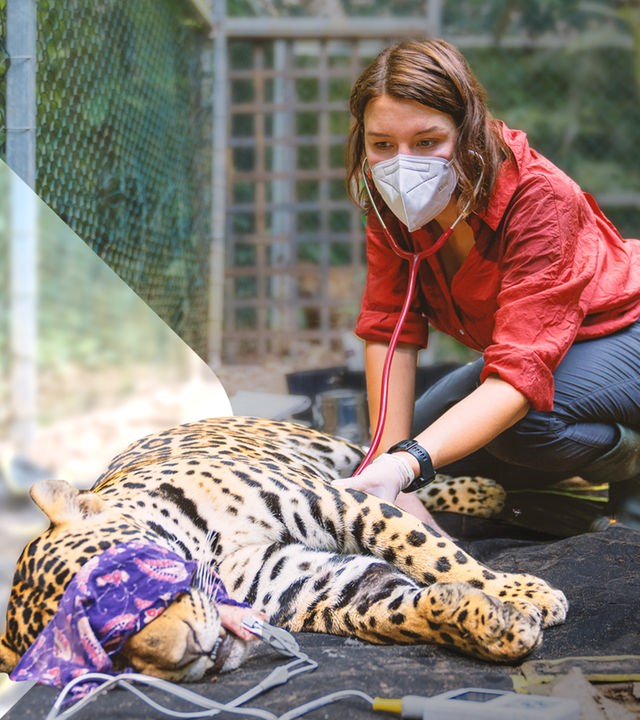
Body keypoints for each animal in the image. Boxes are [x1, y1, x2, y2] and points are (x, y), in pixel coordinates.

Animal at [0, 416, 567, 683]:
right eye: (107, 657)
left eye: (121, 582)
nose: (187, 653)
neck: (212, 553)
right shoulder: (324, 585)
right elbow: (401, 611)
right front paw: (491, 625)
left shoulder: (338, 502)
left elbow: (432, 552)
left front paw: (525, 593)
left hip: (336, 453)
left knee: (401, 467)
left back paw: (483, 491)